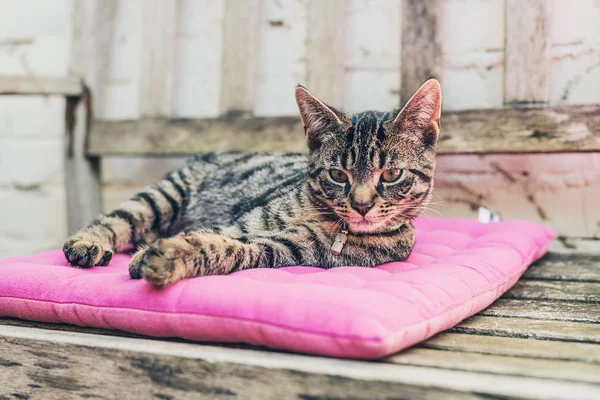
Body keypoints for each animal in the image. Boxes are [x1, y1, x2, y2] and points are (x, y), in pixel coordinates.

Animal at [63, 78, 442, 286]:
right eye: (337, 174)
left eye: (391, 175)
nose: (361, 206)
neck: (320, 215)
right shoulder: (240, 222)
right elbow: (217, 234)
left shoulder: (288, 249)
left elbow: (227, 247)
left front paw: (165, 256)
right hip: (163, 196)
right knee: (117, 219)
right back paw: (87, 243)